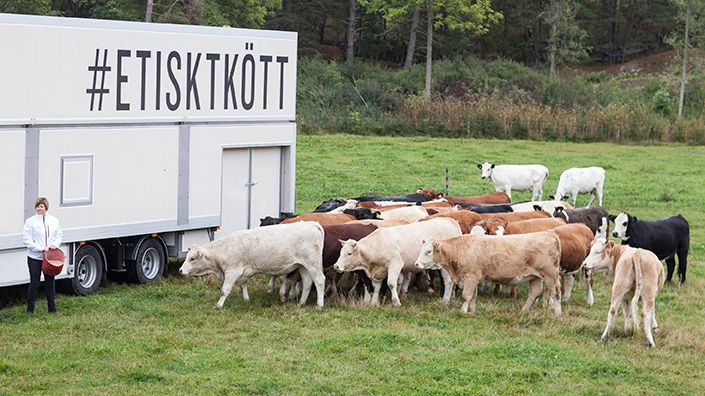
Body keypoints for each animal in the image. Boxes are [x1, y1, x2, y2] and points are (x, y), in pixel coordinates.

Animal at [180, 220, 326, 310]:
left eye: (192, 258)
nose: (180, 270)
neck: (225, 248)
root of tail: (311, 224)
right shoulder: (242, 272)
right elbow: (243, 285)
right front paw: (246, 299)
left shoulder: (232, 272)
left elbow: (224, 290)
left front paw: (219, 305)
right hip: (303, 266)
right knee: (307, 282)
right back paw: (301, 303)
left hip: (313, 264)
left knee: (319, 281)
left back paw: (319, 305)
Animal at [334, 217, 462, 306]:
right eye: (340, 252)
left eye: (349, 253)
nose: (336, 266)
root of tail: (450, 220)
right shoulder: (379, 271)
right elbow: (376, 286)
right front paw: (374, 303)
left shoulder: (395, 265)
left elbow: (391, 283)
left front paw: (396, 302)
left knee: (448, 282)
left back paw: (445, 300)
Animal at [412, 232, 560, 316]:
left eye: (428, 251)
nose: (417, 264)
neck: (462, 249)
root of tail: (549, 234)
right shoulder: (474, 278)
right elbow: (473, 296)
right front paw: (471, 311)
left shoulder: (471, 277)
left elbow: (466, 295)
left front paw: (463, 311)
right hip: (535, 277)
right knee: (534, 293)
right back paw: (523, 311)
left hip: (550, 276)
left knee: (555, 294)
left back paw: (557, 314)